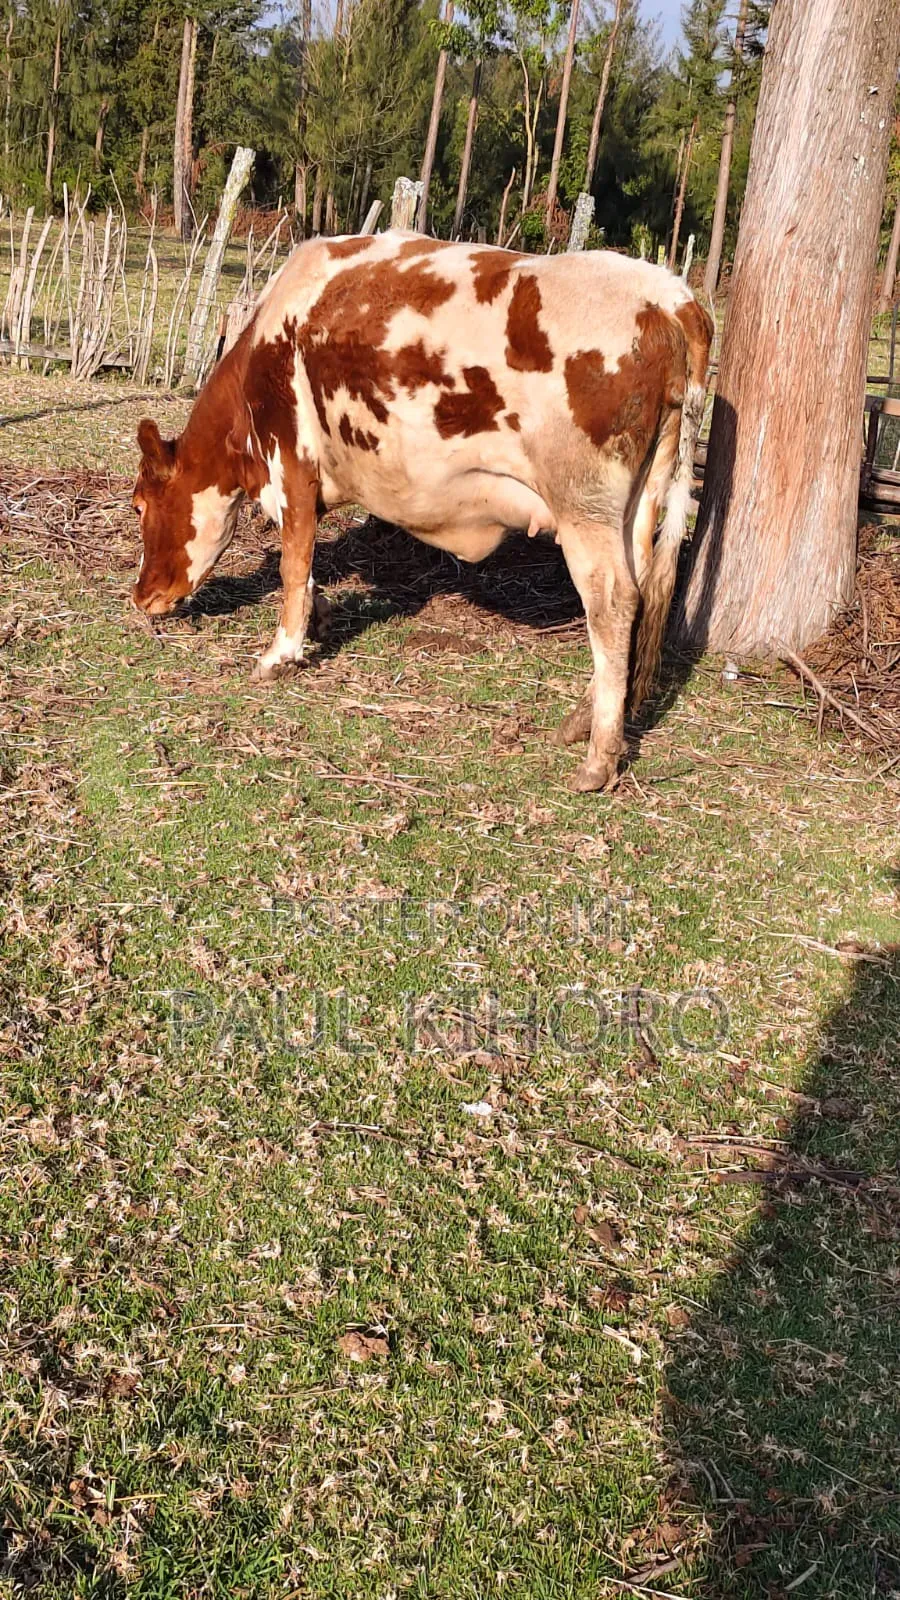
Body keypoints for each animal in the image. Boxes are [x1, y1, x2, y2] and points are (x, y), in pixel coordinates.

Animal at [132, 231, 712, 792]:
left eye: (139, 505)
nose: (141, 596)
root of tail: (671, 297)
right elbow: (308, 568)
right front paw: (319, 617)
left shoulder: (292, 460)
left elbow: (293, 561)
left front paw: (281, 653)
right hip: (638, 501)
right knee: (637, 593)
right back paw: (579, 721)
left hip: (582, 503)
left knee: (611, 602)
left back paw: (598, 757)